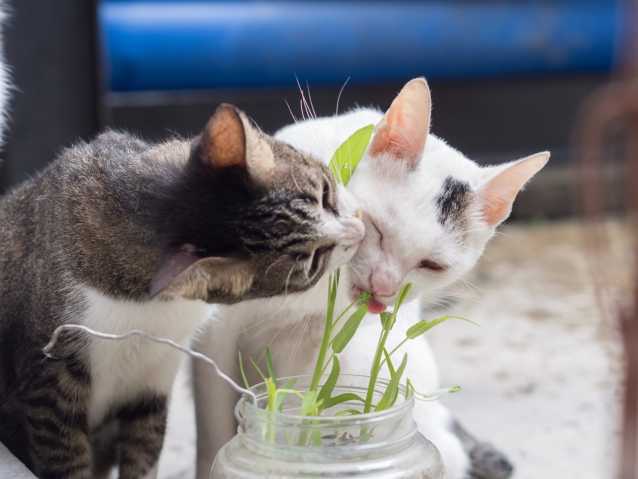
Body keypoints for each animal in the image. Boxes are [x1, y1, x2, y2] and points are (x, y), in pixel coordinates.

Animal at [195, 79, 552, 479]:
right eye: (377, 231)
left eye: (432, 265)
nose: (384, 286)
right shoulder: (216, 326)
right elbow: (212, 424)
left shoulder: (320, 343)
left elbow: (303, 400)